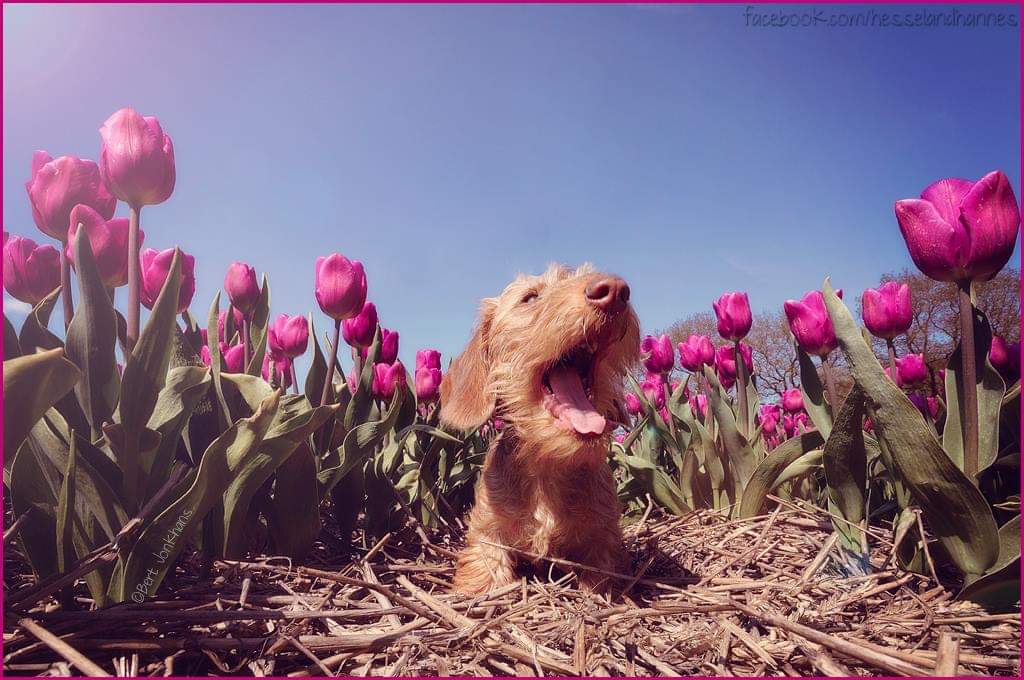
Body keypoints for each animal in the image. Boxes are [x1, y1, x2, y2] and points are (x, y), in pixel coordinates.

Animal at [442, 262, 638, 593]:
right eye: (530, 298)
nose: (614, 290)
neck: (548, 463)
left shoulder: (603, 538)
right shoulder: (486, 534)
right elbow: (485, 568)